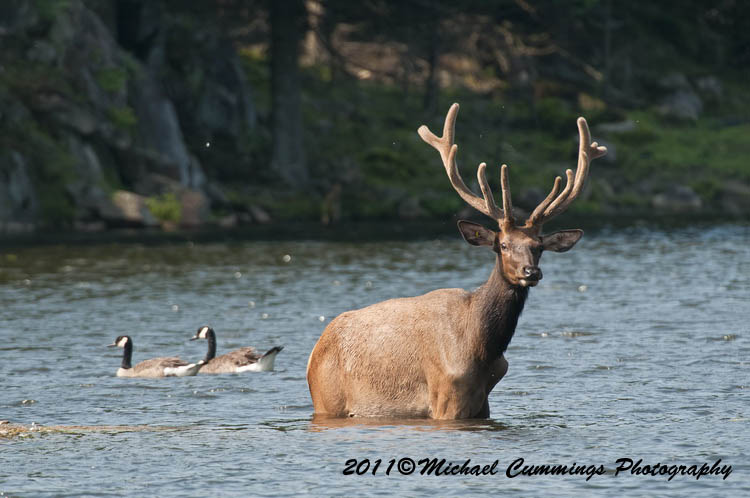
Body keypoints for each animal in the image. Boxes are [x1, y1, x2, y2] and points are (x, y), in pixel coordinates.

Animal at [306, 103, 607, 419]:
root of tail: (314, 352)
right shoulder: (446, 396)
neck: (481, 349)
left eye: (538, 247)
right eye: (502, 245)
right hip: (327, 399)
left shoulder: (483, 403)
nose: (531, 271)